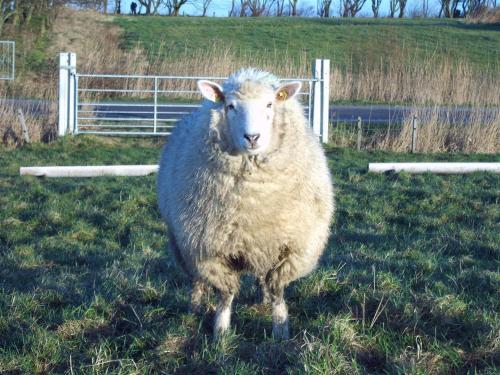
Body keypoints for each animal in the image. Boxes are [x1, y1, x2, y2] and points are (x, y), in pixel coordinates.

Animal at [158, 68, 334, 340]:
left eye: (270, 104)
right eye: (230, 106)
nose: (252, 137)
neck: (255, 200)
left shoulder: (291, 249)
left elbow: (277, 291)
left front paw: (281, 331)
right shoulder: (209, 250)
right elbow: (226, 294)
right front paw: (221, 333)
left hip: (261, 244)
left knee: (263, 279)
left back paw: (262, 300)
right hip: (184, 245)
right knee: (196, 280)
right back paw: (194, 306)